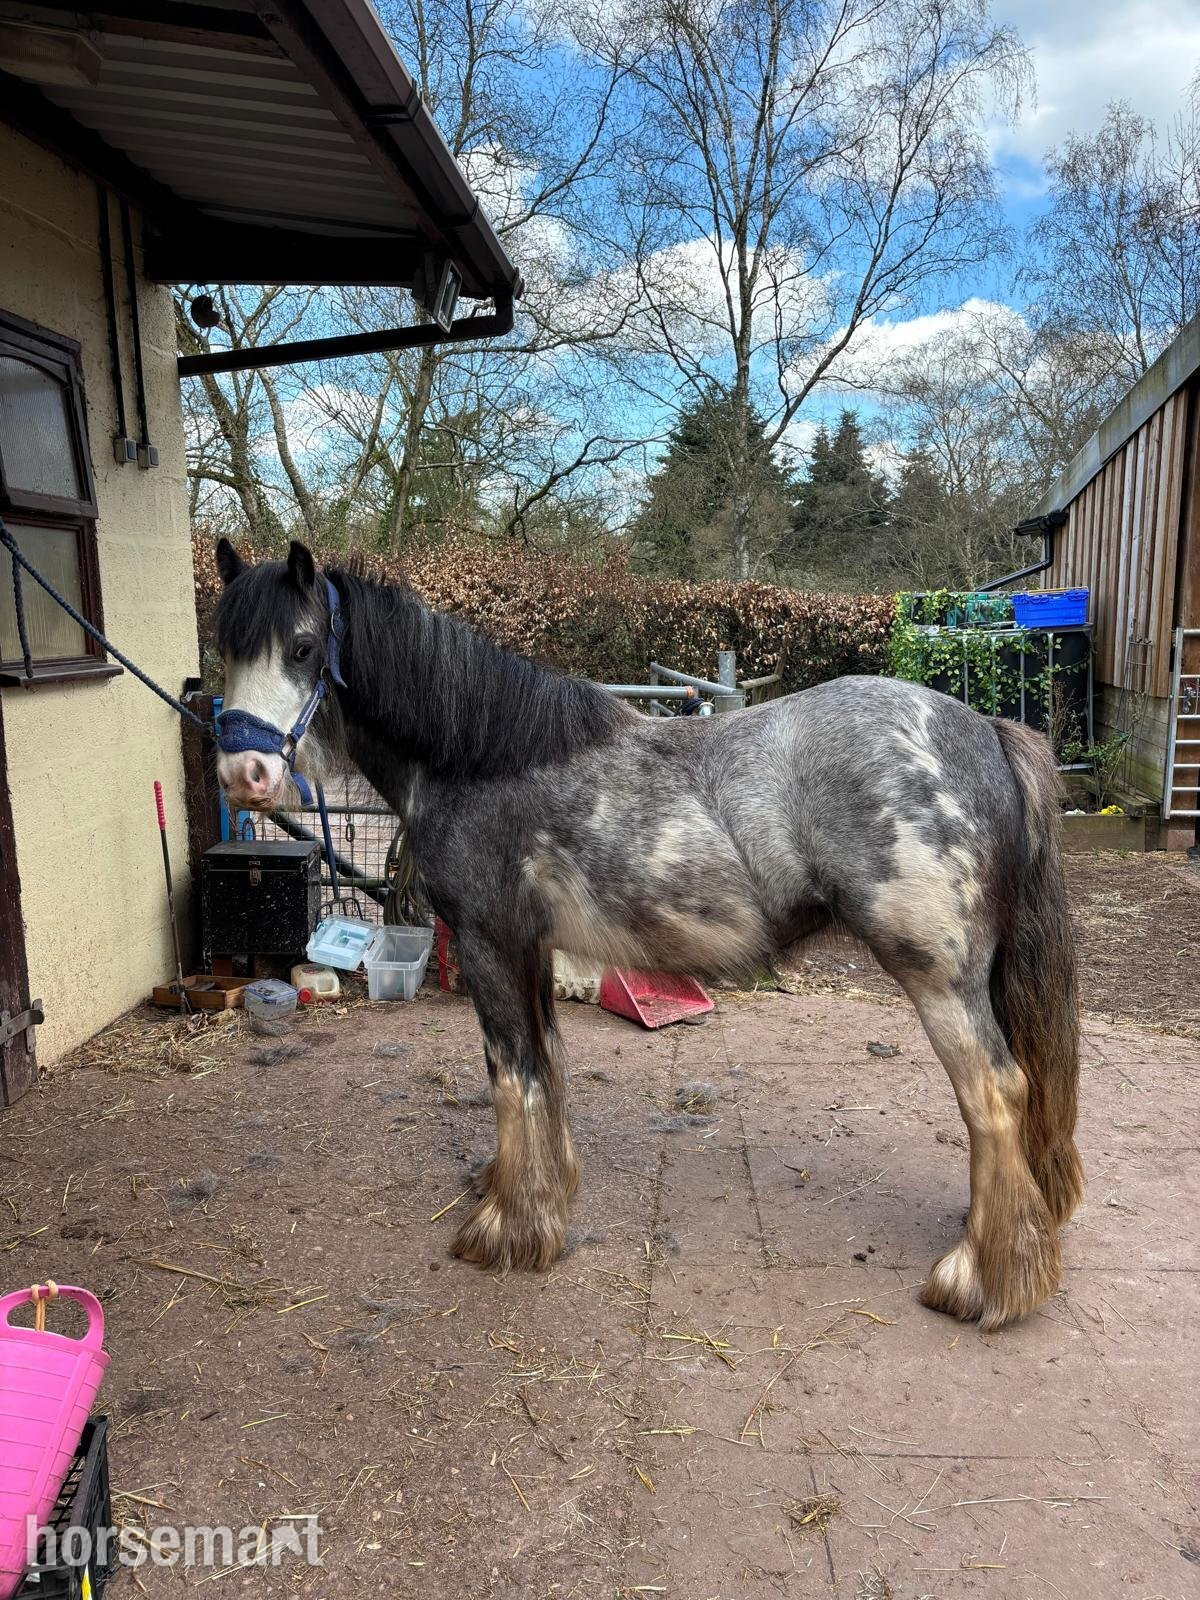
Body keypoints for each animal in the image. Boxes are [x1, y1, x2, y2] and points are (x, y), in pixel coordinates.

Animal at [212, 538, 1082, 1330]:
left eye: (302, 647)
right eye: (225, 649)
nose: (244, 776)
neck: (483, 758)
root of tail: (985, 729)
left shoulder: (492, 946)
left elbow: (512, 1079)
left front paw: (507, 1232)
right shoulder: (531, 951)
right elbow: (548, 1069)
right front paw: (538, 1196)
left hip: (938, 977)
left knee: (996, 1094)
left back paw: (983, 1283)